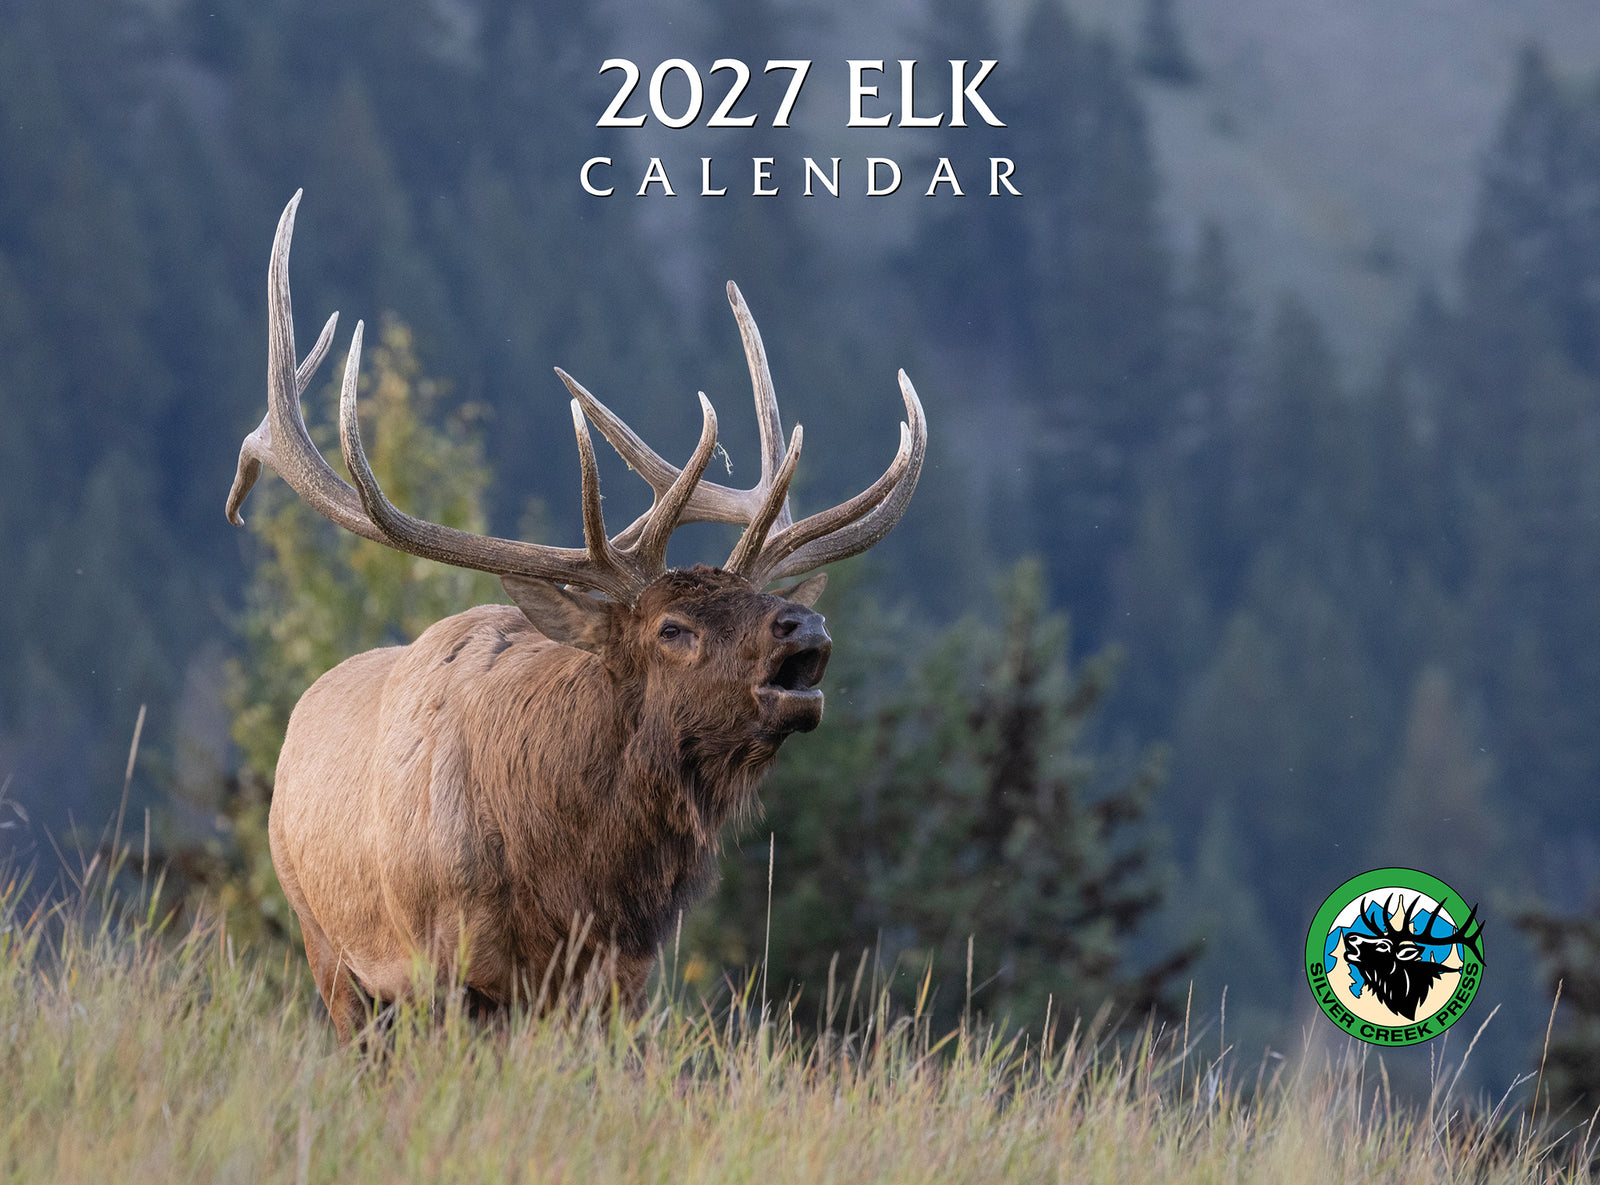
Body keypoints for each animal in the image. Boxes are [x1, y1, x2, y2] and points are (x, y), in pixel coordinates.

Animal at [224, 192, 927, 1042]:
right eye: (671, 628)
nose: (805, 628)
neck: (568, 875)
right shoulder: (445, 971)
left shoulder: (623, 978)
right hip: (329, 952)